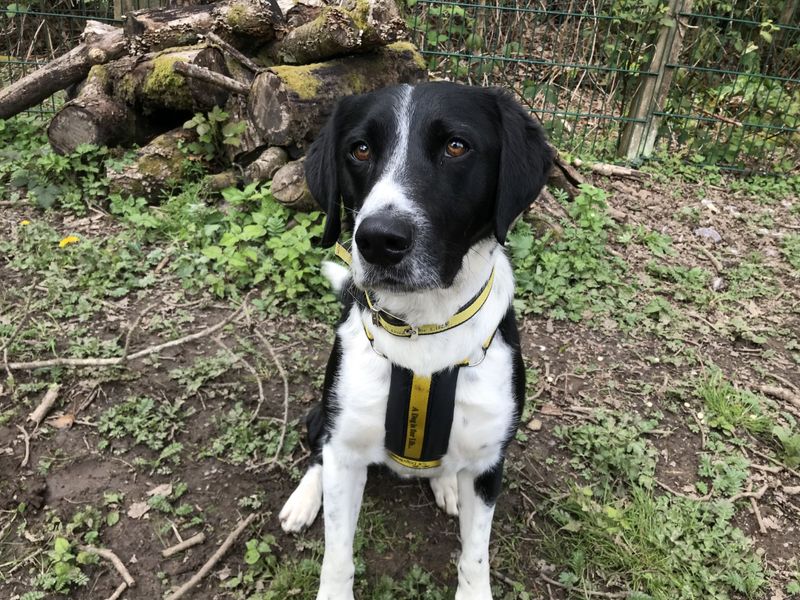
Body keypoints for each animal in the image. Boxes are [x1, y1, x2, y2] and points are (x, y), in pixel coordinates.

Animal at [280, 81, 552, 600]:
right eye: (359, 150)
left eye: (456, 146)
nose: (378, 240)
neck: (423, 327)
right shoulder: (346, 448)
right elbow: (337, 554)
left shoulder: (488, 463)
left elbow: (475, 557)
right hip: (321, 418)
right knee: (317, 454)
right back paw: (304, 499)